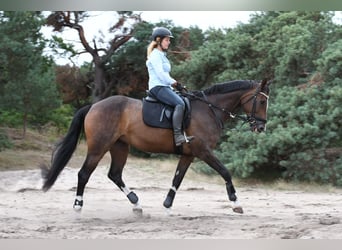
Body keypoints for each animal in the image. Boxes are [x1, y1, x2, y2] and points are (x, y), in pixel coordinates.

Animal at [41, 79, 272, 214]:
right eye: (261, 102)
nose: (261, 127)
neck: (208, 109)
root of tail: (94, 106)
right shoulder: (203, 151)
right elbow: (225, 172)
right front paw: (236, 203)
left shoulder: (189, 154)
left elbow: (177, 178)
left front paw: (167, 204)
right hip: (99, 147)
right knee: (84, 173)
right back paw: (78, 205)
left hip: (120, 147)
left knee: (115, 174)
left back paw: (136, 203)